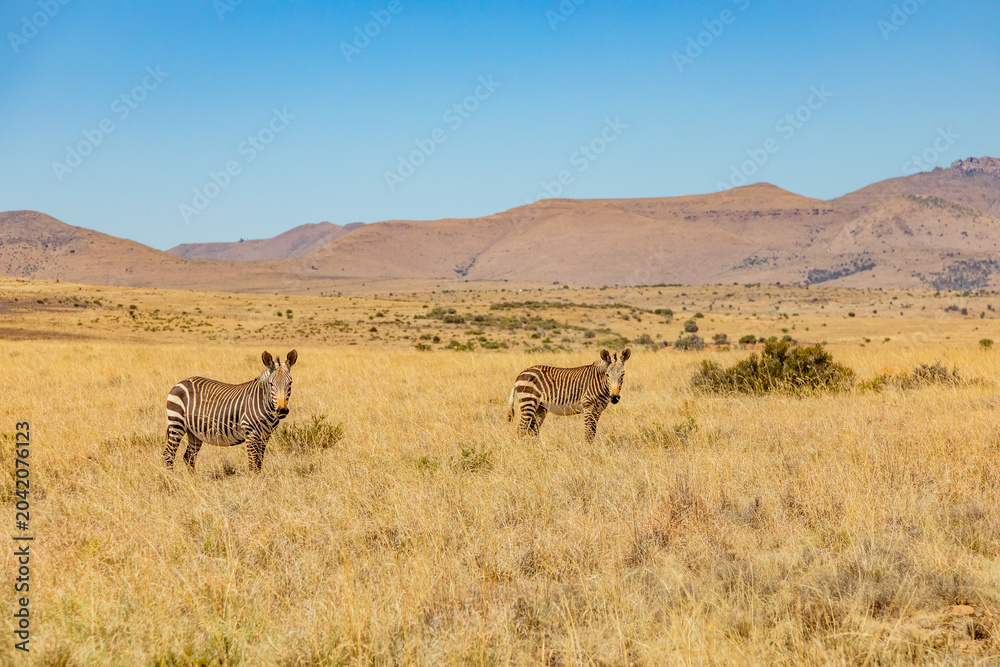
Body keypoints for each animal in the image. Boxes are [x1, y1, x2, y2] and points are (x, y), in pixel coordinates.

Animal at [164, 350, 297, 473]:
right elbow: (252, 464)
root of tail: (181, 382)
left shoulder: (265, 435)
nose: (282, 410)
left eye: (290, 383)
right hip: (176, 424)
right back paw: (172, 479)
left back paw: (193, 479)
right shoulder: (251, 433)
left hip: (194, 431)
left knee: (189, 457)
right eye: (271, 384)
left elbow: (259, 463)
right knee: (169, 454)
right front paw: (253, 481)